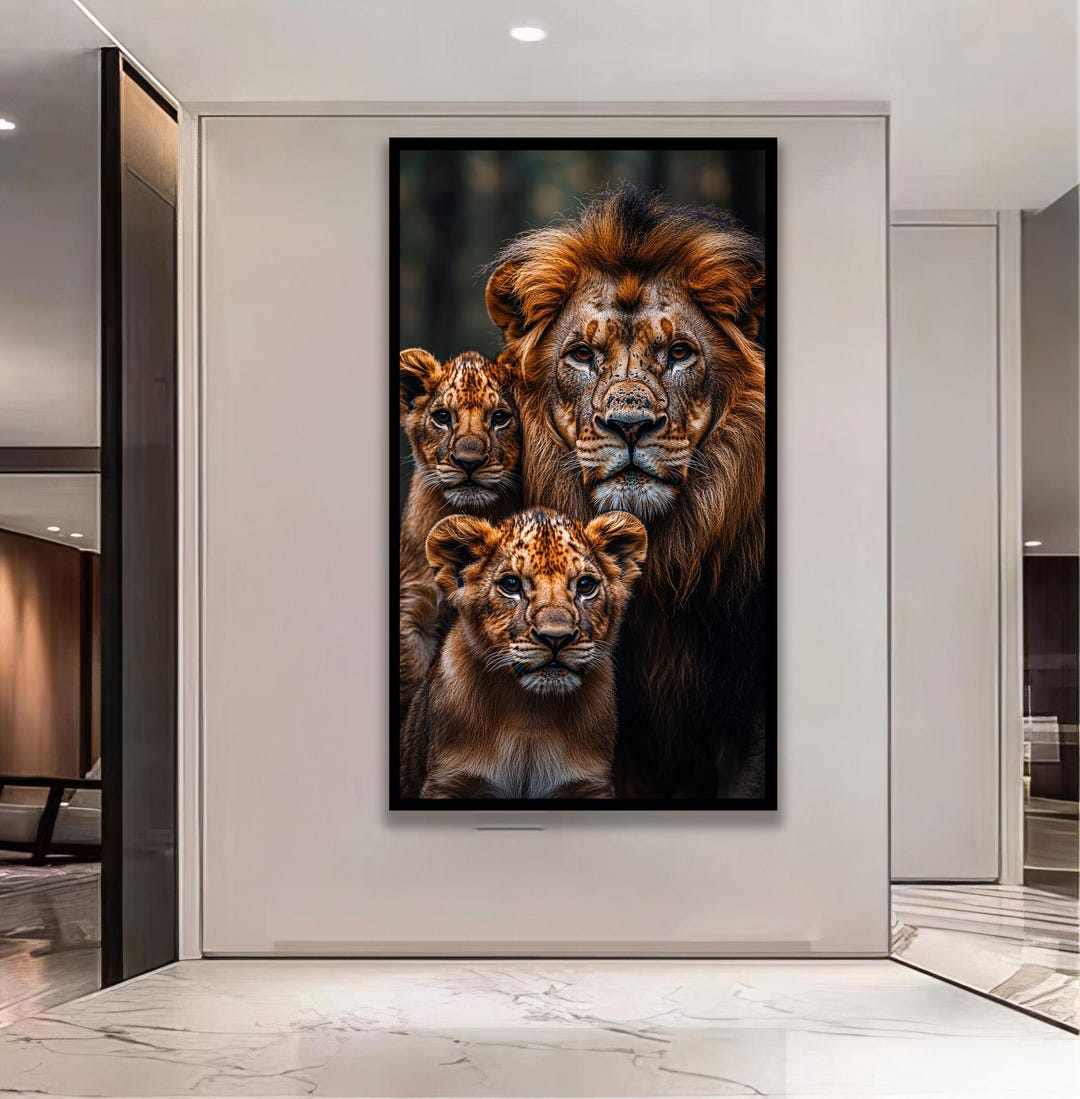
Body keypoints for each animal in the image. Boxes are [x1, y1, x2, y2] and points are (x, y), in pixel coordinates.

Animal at [400, 506, 648, 799]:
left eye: (586, 585)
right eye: (511, 584)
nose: (555, 637)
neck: (531, 713)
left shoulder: (591, 785)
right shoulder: (446, 782)